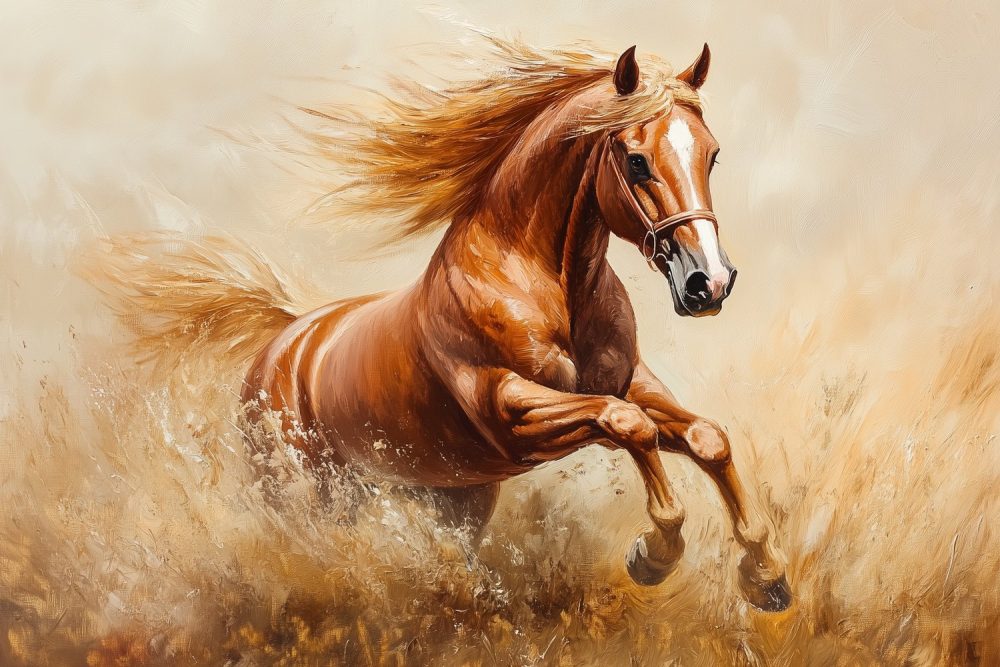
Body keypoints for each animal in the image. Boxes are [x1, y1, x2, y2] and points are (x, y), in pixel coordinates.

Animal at [98, 38, 790, 611]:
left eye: (712, 156)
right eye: (638, 160)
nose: (709, 283)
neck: (540, 282)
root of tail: (285, 342)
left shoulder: (632, 384)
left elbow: (706, 437)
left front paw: (766, 578)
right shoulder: (510, 411)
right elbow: (631, 427)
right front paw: (653, 555)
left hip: (444, 497)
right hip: (302, 496)